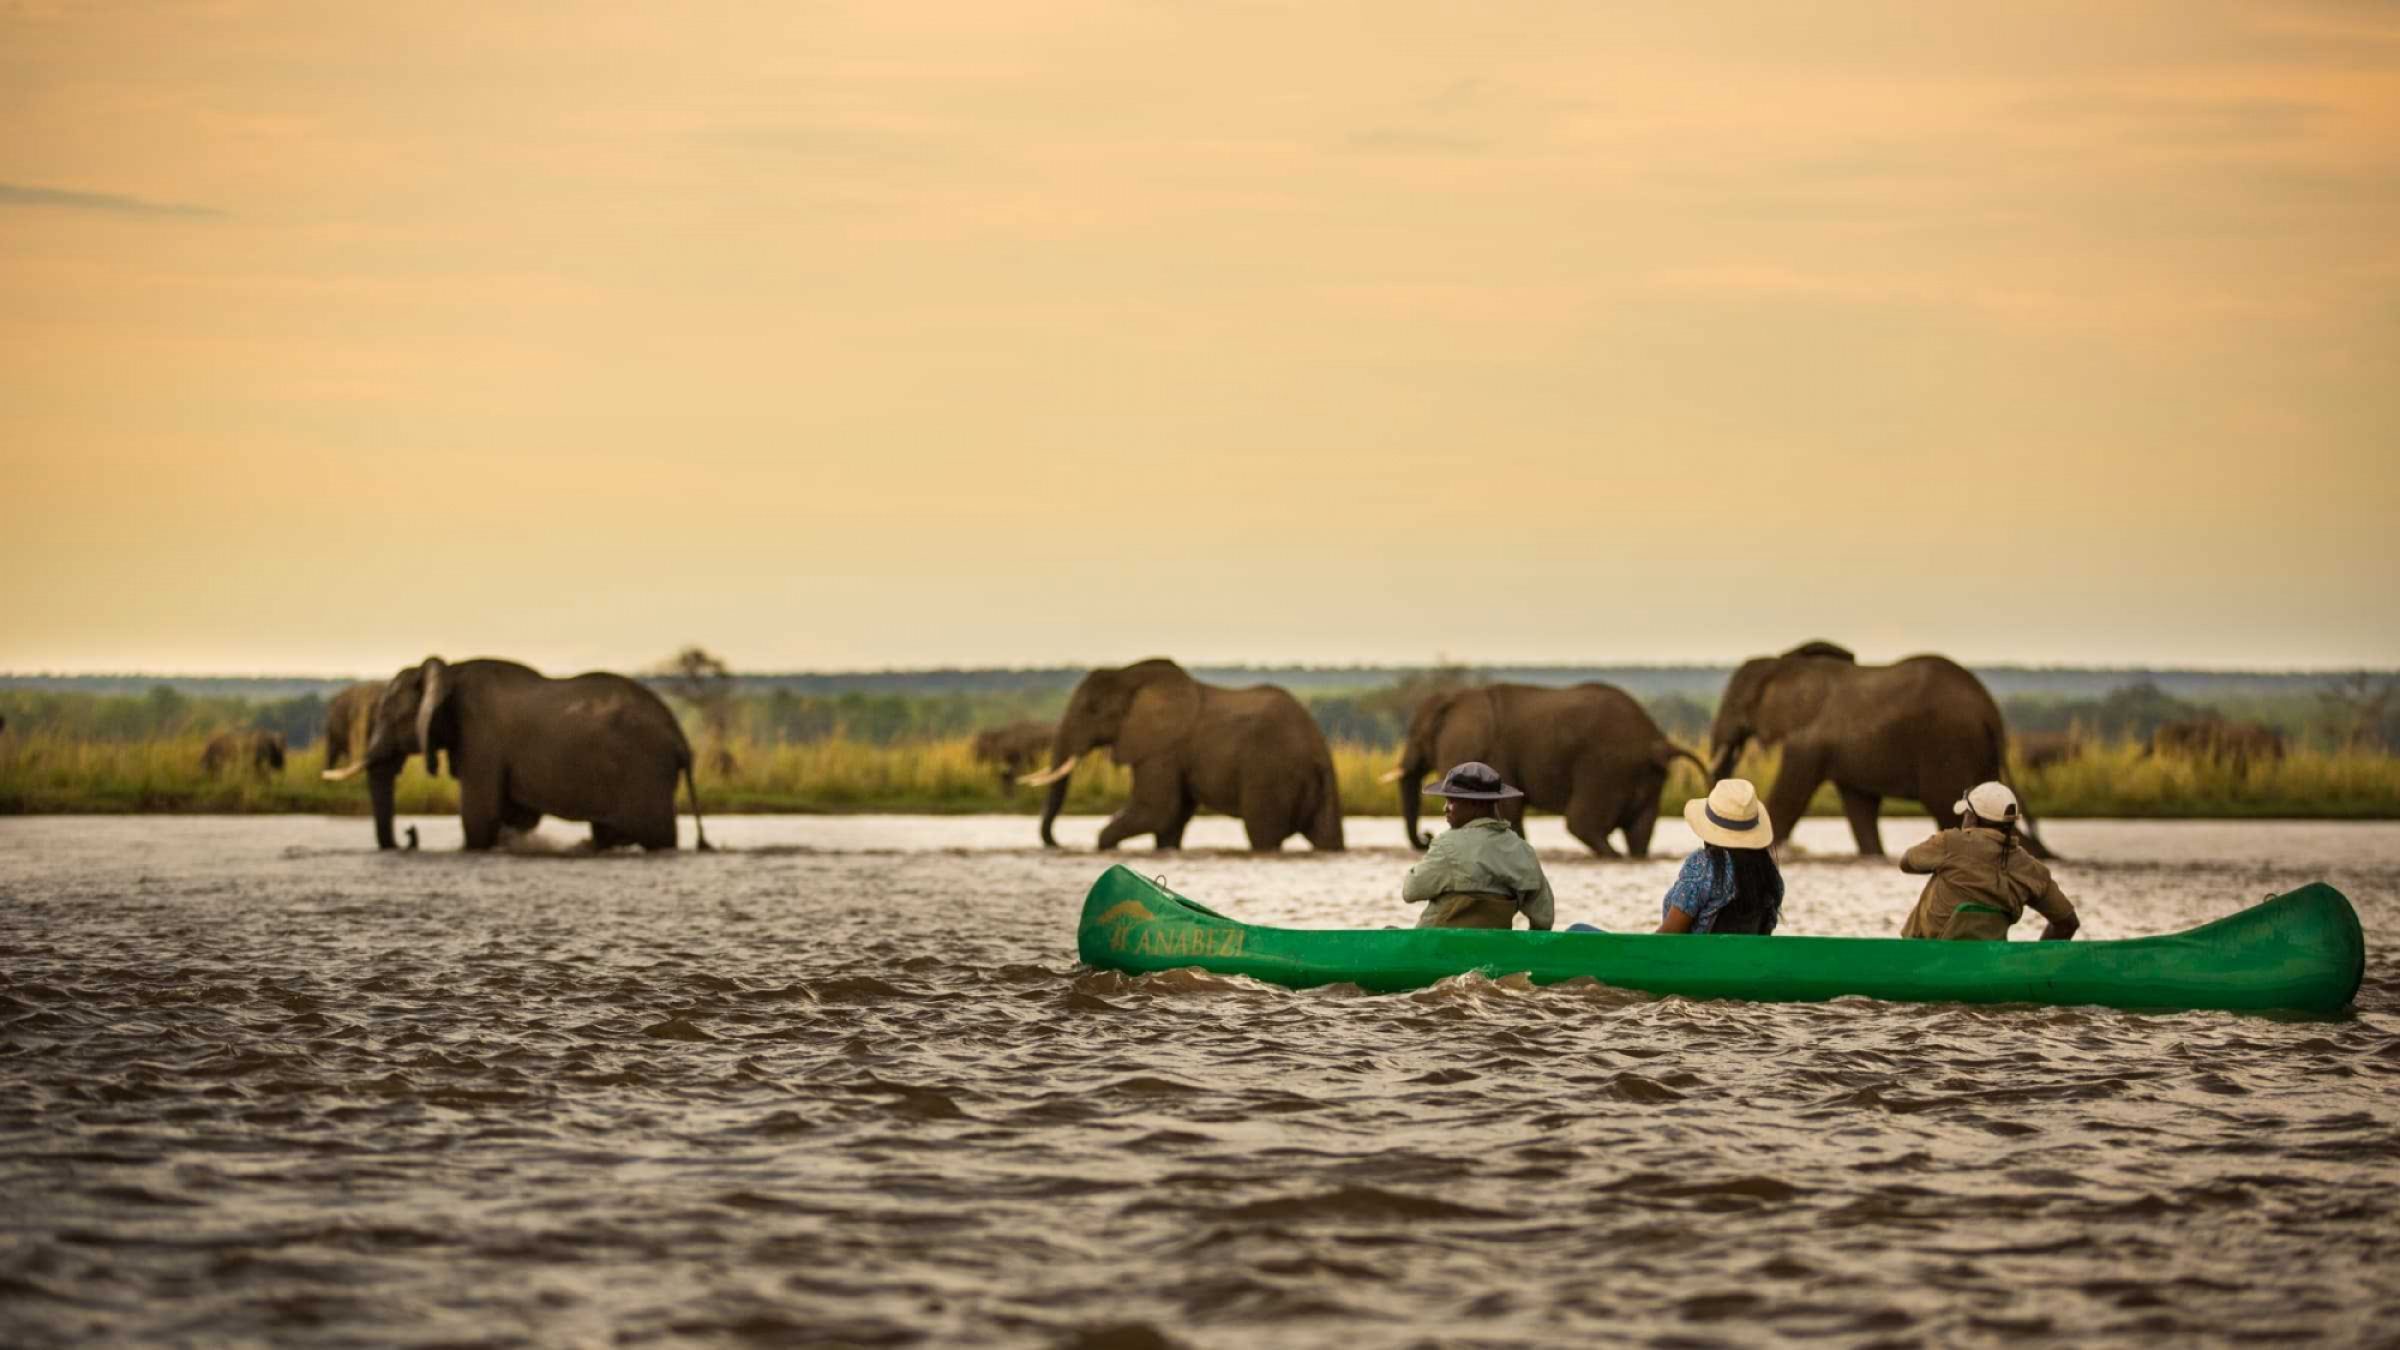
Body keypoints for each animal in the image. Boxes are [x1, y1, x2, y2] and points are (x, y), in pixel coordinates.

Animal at [326, 653, 710, 850]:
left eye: (389, 716)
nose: (410, 833)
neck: (451, 671)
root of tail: (680, 738)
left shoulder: (481, 738)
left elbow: (479, 817)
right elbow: (516, 817)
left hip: (646, 772)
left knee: (657, 835)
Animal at [1017, 653, 1344, 850]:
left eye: (1092, 709)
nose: (1060, 845)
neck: (1130, 673)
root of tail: (1319, 747)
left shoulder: (1162, 749)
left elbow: (1156, 811)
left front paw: (1104, 846)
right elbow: (1170, 820)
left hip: (1270, 773)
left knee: (1263, 833)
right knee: (1327, 836)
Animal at [1382, 677, 1699, 855]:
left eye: (1419, 738)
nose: (1426, 837)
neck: (1464, 695)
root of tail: (1657, 742)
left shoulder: (1491, 752)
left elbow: (1508, 810)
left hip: (1605, 766)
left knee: (1582, 825)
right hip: (1644, 775)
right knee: (1639, 831)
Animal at [1699, 638, 2054, 850]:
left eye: (1737, 703)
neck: (1787, 663)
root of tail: (1991, 711)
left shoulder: (1810, 738)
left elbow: (1790, 796)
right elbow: (1860, 808)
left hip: (1950, 745)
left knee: (1948, 809)